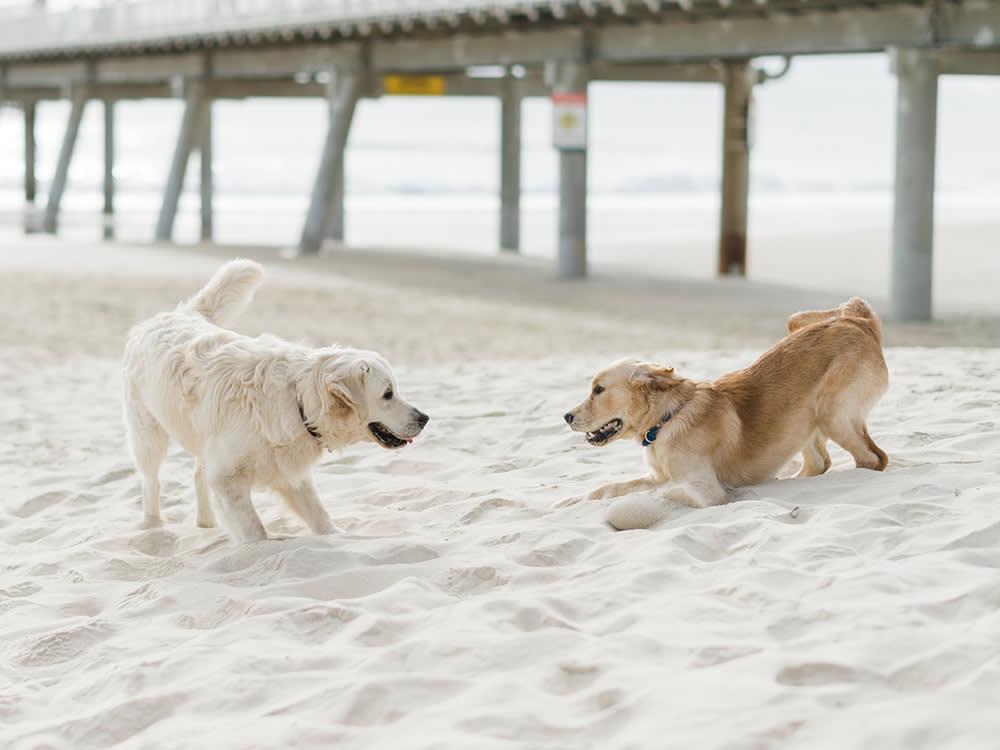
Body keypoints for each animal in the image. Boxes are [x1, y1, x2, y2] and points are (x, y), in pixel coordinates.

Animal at [121, 262, 426, 544]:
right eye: (388, 393)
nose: (425, 418)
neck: (298, 400)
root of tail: (178, 314)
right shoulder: (228, 477)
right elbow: (254, 529)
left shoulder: (287, 471)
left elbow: (318, 513)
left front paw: (338, 536)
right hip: (148, 435)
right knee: (151, 481)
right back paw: (152, 524)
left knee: (197, 474)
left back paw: (206, 524)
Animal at [564, 298, 892, 528]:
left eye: (598, 390)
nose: (566, 416)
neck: (667, 420)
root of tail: (855, 321)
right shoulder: (656, 475)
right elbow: (609, 487)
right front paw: (569, 502)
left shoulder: (704, 489)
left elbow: (663, 493)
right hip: (804, 418)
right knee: (819, 463)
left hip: (831, 413)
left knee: (874, 459)